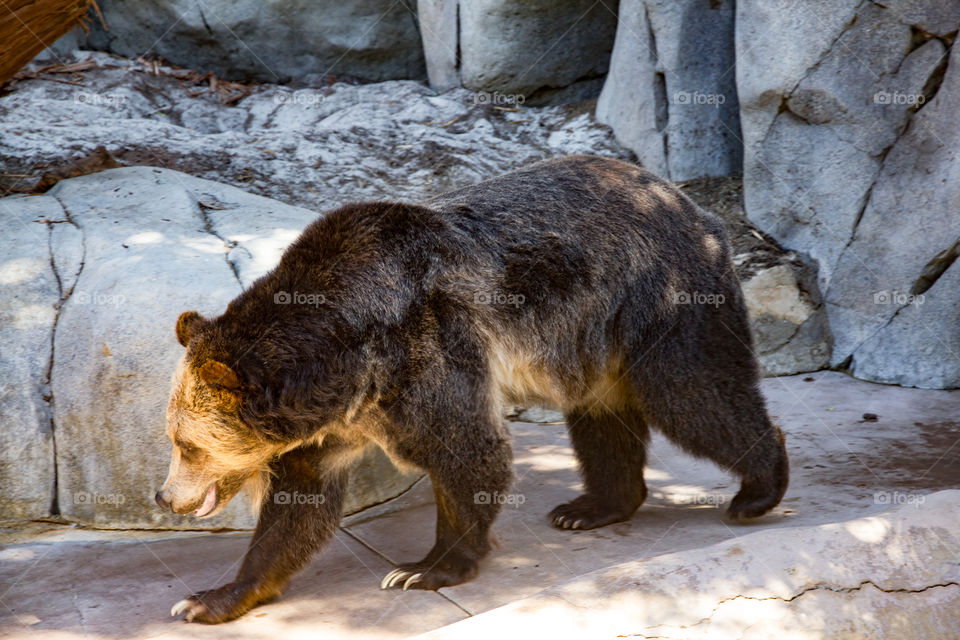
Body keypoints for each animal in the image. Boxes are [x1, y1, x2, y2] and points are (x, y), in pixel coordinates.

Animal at [156, 154, 789, 623]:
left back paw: (757, 490)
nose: (165, 497)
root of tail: (684, 198)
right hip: (592, 340)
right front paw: (210, 598)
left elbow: (465, 451)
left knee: (694, 392)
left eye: (186, 445)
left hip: (660, 299)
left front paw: (423, 568)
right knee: (601, 416)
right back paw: (592, 507)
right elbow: (297, 506)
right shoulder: (333, 421)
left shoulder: (427, 350)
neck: (346, 363)